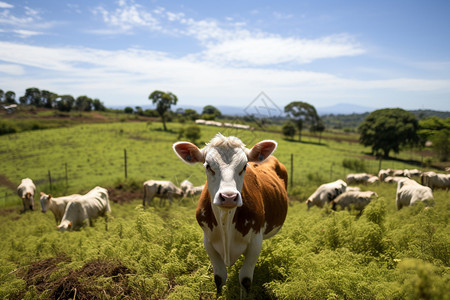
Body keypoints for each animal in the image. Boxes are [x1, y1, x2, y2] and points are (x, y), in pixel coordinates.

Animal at [172, 135, 288, 294]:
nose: (228, 197)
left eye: (244, 166)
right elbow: (219, 277)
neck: (225, 221)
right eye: (208, 166)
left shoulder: (255, 242)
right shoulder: (208, 241)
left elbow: (245, 279)